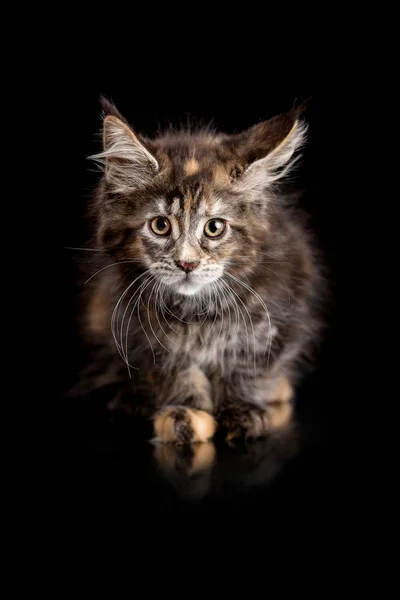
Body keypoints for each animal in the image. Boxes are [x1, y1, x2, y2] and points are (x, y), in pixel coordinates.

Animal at [79, 98, 324, 442]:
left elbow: (248, 367)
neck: (197, 313)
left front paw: (241, 410)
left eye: (214, 228)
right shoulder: (143, 335)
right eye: (160, 226)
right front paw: (187, 413)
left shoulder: (278, 316)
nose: (187, 263)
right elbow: (177, 372)